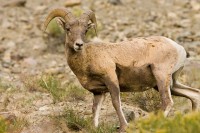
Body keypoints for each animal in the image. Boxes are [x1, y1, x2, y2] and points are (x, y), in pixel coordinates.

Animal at [43, 8, 200, 132]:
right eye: (68, 29)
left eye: (85, 30)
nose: (79, 45)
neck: (87, 59)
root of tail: (179, 48)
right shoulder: (98, 92)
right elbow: (95, 110)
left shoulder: (111, 79)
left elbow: (116, 103)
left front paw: (124, 127)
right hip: (171, 83)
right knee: (194, 95)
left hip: (161, 77)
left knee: (168, 102)